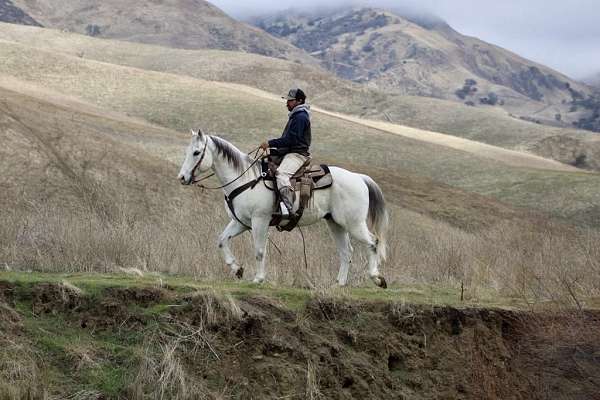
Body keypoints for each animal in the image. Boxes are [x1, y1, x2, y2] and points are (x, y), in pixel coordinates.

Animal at [176, 128, 390, 288]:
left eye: (196, 152)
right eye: (187, 152)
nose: (182, 178)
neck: (245, 179)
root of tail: (359, 178)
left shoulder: (259, 221)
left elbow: (259, 250)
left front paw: (258, 279)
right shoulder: (241, 223)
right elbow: (221, 241)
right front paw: (237, 269)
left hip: (354, 224)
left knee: (373, 242)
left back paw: (377, 278)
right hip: (336, 224)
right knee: (347, 252)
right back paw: (340, 283)